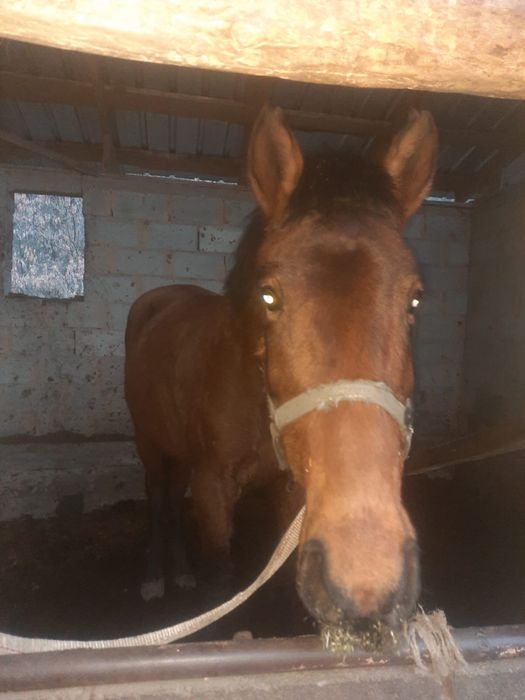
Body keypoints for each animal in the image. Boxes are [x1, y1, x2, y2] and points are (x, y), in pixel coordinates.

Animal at [124, 105, 437, 628]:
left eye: (415, 299)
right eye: (269, 296)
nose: (365, 578)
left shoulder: (293, 493)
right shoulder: (213, 489)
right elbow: (220, 582)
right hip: (149, 443)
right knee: (155, 498)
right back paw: (152, 577)